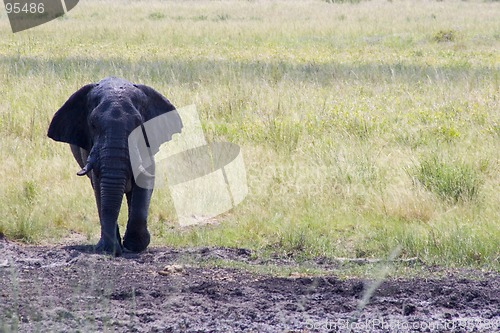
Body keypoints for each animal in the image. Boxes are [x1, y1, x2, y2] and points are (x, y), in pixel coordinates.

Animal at [47, 78, 182, 254]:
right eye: (93, 125)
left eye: (139, 124)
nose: (109, 250)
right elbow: (99, 186)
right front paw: (109, 249)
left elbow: (145, 180)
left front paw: (135, 245)